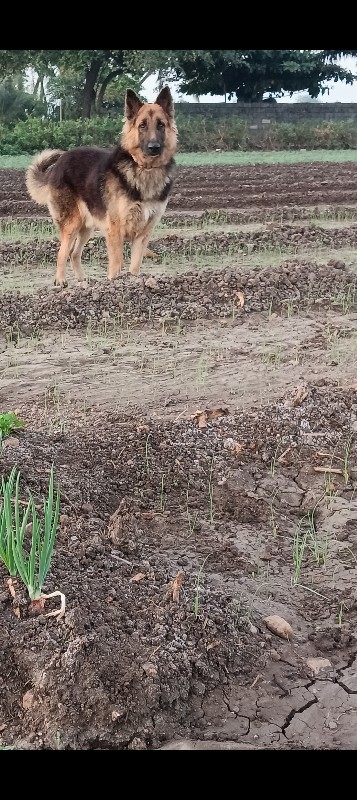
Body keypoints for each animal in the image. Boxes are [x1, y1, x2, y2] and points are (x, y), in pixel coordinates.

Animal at [25, 87, 177, 286]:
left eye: (161, 125)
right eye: (142, 125)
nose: (154, 147)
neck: (144, 169)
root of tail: (60, 162)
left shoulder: (144, 233)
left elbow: (135, 265)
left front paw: (134, 282)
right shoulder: (116, 230)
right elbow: (117, 262)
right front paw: (115, 283)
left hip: (86, 226)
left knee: (74, 253)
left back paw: (84, 281)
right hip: (72, 224)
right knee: (62, 253)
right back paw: (61, 281)